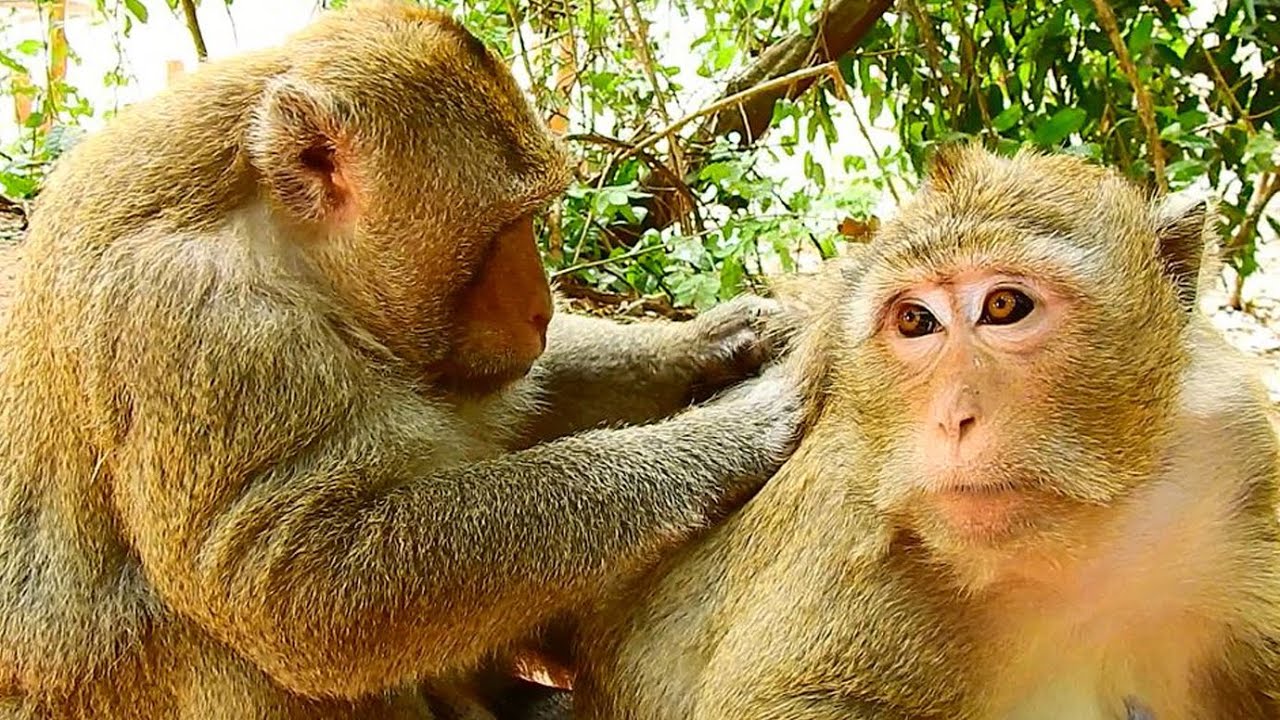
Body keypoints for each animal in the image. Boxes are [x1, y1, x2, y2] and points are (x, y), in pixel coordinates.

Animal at [0, 2, 804, 718]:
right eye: (508, 225)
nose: (541, 309)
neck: (277, 229)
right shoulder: (200, 329)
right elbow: (296, 589)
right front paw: (724, 435)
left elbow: (520, 397)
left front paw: (723, 338)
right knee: (195, 632)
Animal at [572, 145, 1280, 720]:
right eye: (916, 320)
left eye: (1004, 306)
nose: (951, 417)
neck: (1080, 545)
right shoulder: (856, 520)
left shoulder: (1231, 449)